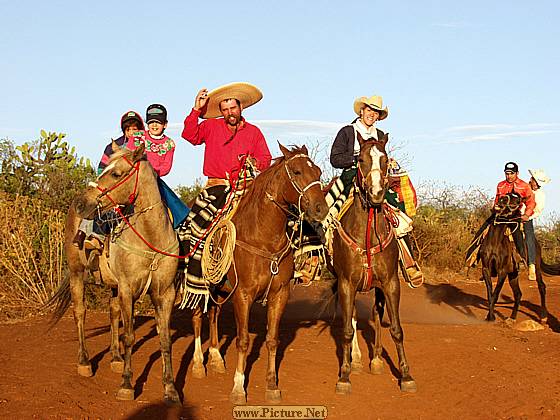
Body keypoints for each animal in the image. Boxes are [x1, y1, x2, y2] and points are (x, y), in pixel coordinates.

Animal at [51, 144, 179, 404]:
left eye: (117, 174)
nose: (81, 203)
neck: (151, 238)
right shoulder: (128, 288)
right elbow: (129, 336)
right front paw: (127, 385)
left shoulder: (165, 293)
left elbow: (165, 339)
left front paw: (170, 388)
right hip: (77, 273)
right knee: (80, 312)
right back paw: (85, 362)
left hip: (113, 285)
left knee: (113, 313)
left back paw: (116, 358)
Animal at [328, 134, 416, 394]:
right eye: (361, 160)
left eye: (385, 160)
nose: (377, 193)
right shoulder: (347, 283)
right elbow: (347, 329)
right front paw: (344, 375)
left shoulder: (390, 283)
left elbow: (396, 329)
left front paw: (405, 375)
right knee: (354, 317)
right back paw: (356, 360)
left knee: (376, 313)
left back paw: (375, 359)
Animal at [482, 192, 548, 324]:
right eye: (505, 195)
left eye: (517, 202)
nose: (501, 200)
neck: (494, 242)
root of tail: (537, 244)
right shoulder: (486, 268)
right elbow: (490, 294)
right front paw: (489, 316)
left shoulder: (502, 271)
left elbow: (496, 294)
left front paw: (491, 317)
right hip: (513, 274)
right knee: (518, 294)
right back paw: (512, 318)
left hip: (536, 268)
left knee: (541, 286)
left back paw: (543, 316)